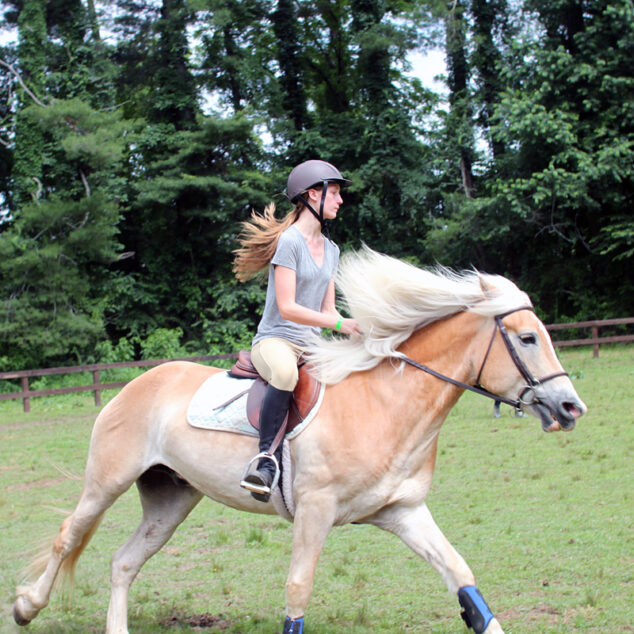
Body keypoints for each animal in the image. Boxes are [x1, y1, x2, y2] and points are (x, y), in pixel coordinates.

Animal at [13, 248, 584, 632]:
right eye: (528, 338)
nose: (571, 408)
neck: (387, 404)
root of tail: (138, 382)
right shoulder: (315, 510)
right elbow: (297, 591)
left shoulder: (403, 512)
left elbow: (461, 575)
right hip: (106, 482)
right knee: (67, 537)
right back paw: (25, 606)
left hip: (170, 497)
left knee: (124, 561)